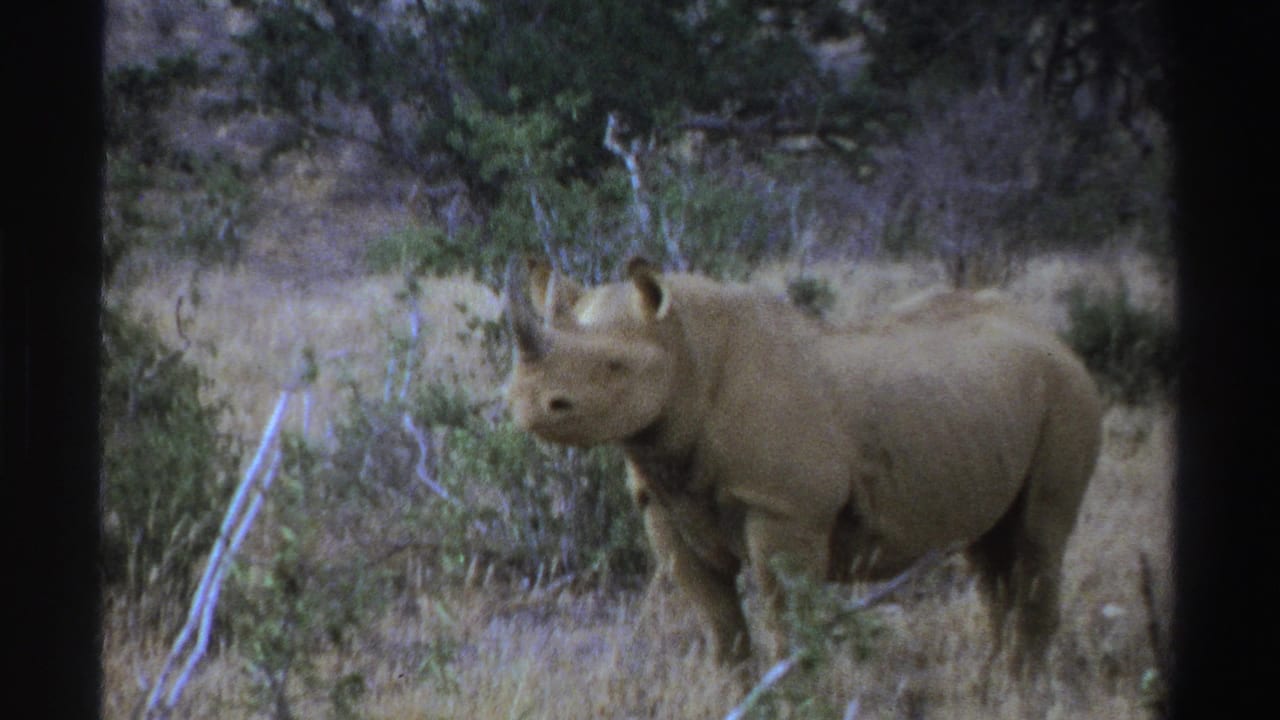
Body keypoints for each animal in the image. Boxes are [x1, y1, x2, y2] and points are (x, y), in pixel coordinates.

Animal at [503, 257, 1102, 675]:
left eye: (615, 366)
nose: (530, 403)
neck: (687, 350)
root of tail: (1052, 336)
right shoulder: (664, 502)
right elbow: (720, 626)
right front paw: (738, 691)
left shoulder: (785, 509)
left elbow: (787, 620)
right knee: (989, 553)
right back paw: (990, 683)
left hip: (1068, 392)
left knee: (1038, 539)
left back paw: (1022, 689)